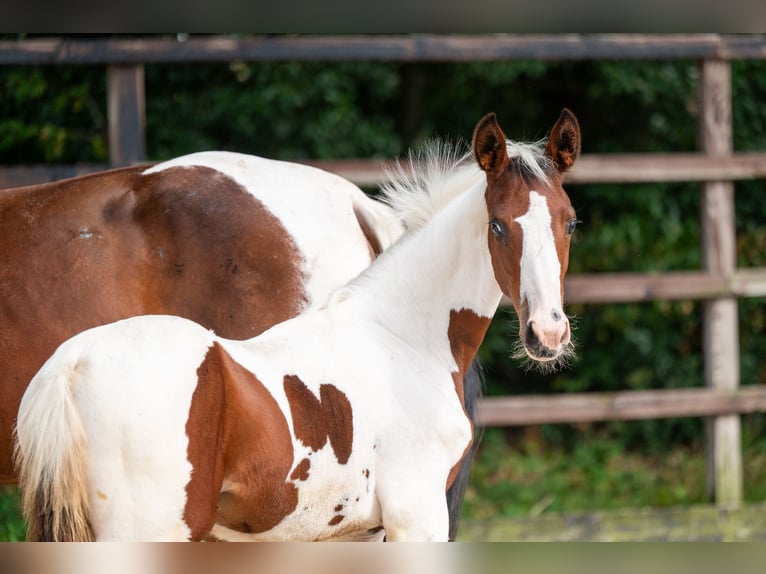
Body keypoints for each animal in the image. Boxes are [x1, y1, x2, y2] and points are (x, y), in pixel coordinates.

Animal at [14, 108, 581, 541]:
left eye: (570, 221)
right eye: (497, 226)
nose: (548, 335)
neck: (400, 337)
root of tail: (70, 365)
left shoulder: (360, 533)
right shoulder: (416, 518)